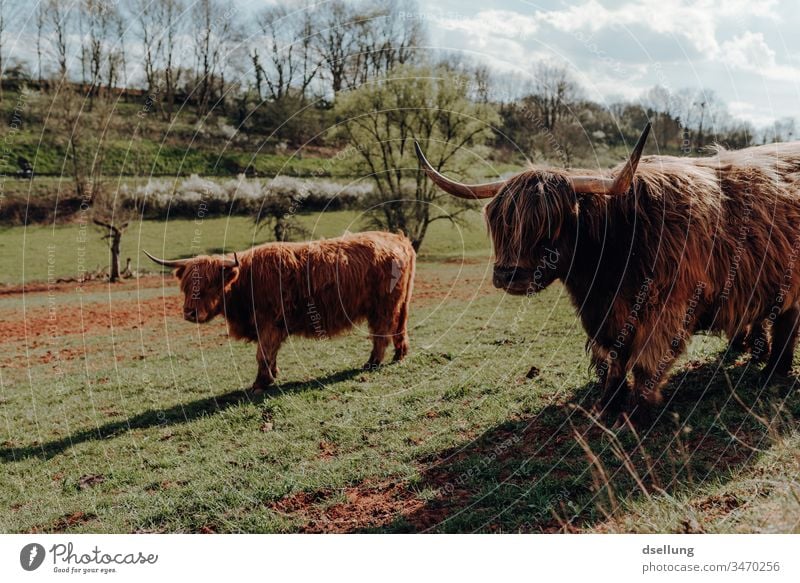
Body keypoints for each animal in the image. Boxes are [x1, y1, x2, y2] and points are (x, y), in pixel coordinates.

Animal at [146, 232, 416, 392]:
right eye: (186, 286)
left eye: (210, 284)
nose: (190, 313)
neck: (246, 281)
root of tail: (397, 238)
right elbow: (270, 354)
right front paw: (272, 376)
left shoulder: (269, 324)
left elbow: (263, 354)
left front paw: (260, 383)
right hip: (400, 303)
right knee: (399, 329)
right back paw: (399, 355)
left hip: (382, 307)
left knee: (381, 334)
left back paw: (371, 363)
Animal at [416, 124, 800, 424]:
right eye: (500, 225)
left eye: (551, 224)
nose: (510, 275)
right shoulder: (603, 317)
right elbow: (612, 361)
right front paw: (608, 404)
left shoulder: (666, 310)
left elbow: (646, 363)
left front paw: (639, 412)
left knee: (787, 322)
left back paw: (773, 373)